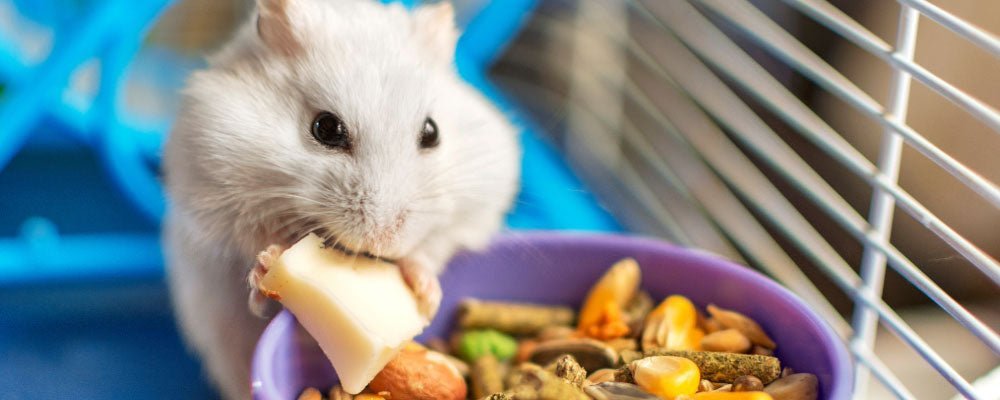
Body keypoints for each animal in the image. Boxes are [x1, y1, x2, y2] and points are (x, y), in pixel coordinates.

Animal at [161, 1, 521, 398]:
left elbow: (430, 250)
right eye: (326, 128)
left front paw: (427, 298)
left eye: (432, 132)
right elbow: (254, 242)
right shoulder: (215, 193)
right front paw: (270, 262)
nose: (383, 241)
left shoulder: (474, 208)